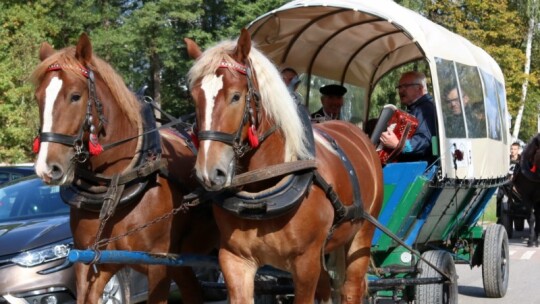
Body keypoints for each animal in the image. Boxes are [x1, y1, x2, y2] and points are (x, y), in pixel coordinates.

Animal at [31, 32, 217, 302]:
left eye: (75, 96)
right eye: (39, 98)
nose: (47, 168)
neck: (116, 185)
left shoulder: (159, 264)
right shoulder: (89, 262)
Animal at [186, 27, 384, 302]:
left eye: (236, 96)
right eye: (195, 98)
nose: (208, 172)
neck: (262, 187)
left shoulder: (306, 262)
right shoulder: (235, 260)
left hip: (362, 234)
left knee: (351, 287)